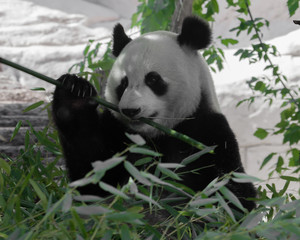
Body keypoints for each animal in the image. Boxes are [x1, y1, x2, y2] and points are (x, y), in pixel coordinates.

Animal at [52, 16, 256, 210]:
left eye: (152, 79)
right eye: (123, 83)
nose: (131, 110)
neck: (154, 135)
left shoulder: (206, 133)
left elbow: (231, 195)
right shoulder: (118, 133)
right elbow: (93, 178)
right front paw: (74, 92)